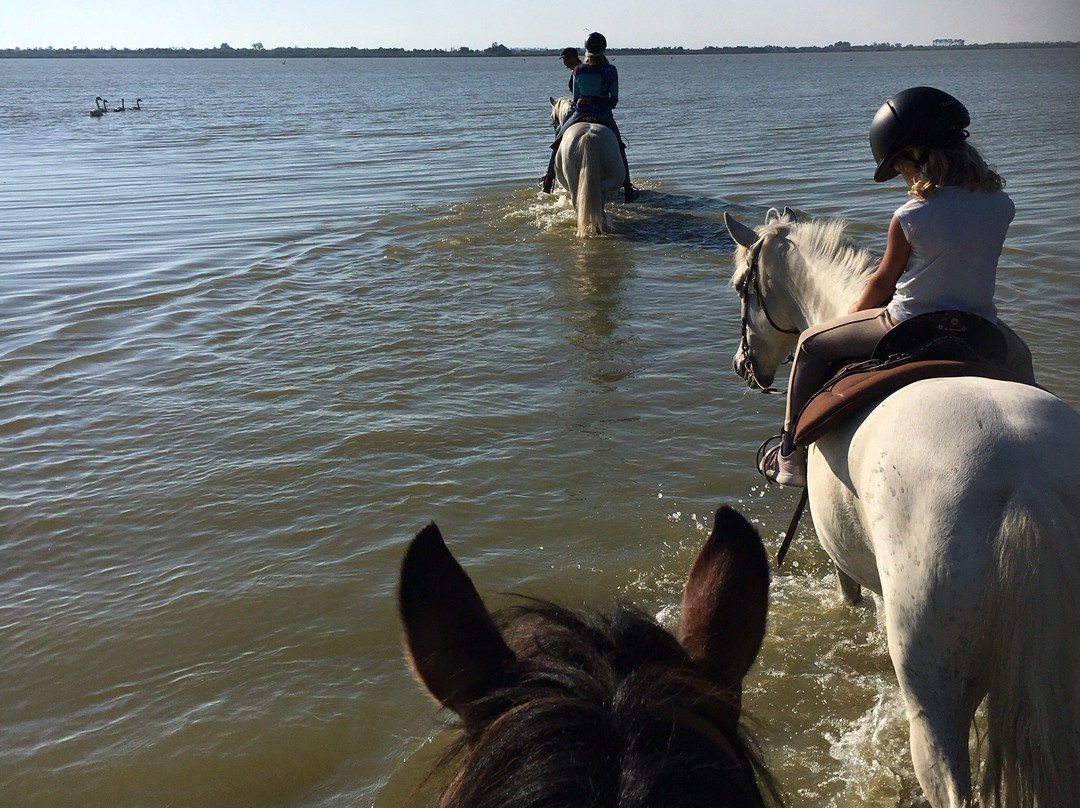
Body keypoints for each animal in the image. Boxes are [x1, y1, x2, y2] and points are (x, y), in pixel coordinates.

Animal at [721, 206, 1080, 808]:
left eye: (740, 287)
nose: (743, 366)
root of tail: (1027, 487)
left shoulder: (842, 554)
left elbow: (847, 600)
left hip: (933, 698)